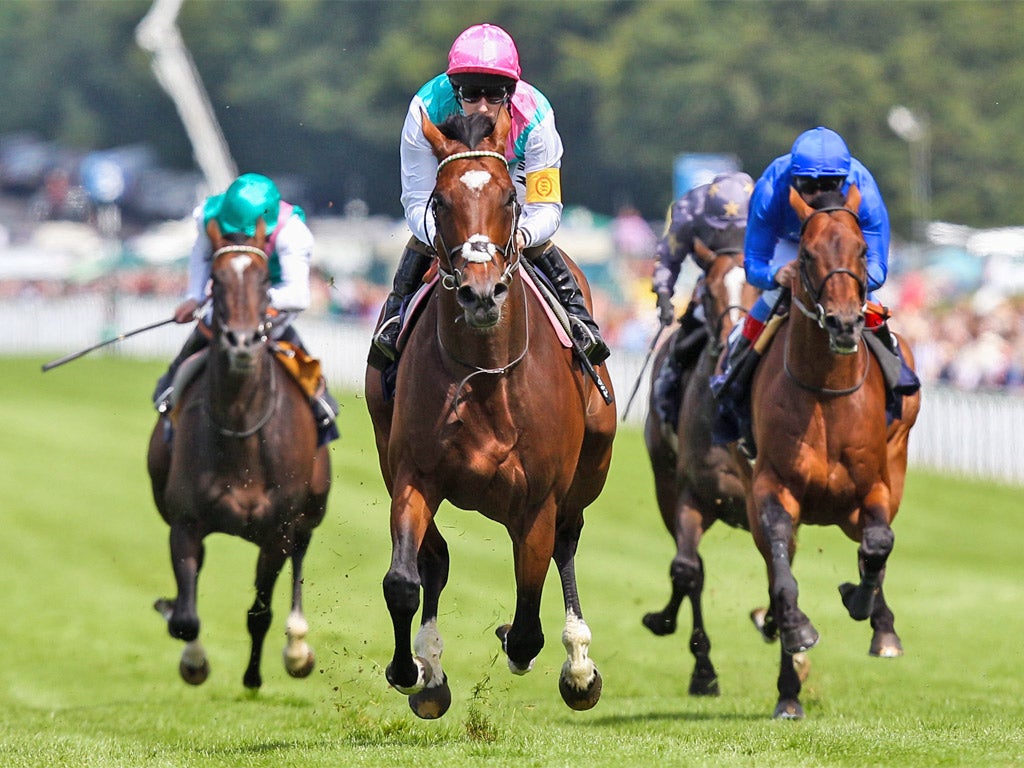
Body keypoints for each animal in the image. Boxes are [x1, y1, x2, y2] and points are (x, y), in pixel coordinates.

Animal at [146, 218, 329, 692]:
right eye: (216, 278)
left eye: (265, 280)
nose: (243, 342)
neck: (241, 431)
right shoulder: (185, 524)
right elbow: (186, 617)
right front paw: (192, 658)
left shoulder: (277, 532)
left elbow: (260, 611)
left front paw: (254, 674)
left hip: (310, 512)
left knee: (300, 556)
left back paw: (297, 647)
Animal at [362, 108, 610, 720]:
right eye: (442, 201)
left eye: (507, 199)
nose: (480, 294)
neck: (486, 373)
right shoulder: (413, 476)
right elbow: (403, 580)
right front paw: (410, 671)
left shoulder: (540, 500)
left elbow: (527, 618)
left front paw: (535, 649)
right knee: (435, 560)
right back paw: (430, 671)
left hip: (589, 466)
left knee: (566, 543)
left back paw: (578, 664)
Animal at [638, 241, 761, 696]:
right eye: (707, 293)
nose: (733, 337)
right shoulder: (693, 493)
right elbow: (688, 569)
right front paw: (702, 667)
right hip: (664, 485)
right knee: (691, 565)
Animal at [745, 186, 921, 720]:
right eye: (806, 255)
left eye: (862, 251)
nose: (844, 323)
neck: (824, 390)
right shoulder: (772, 488)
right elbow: (783, 578)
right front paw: (794, 630)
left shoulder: (873, 488)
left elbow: (879, 544)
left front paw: (862, 604)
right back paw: (787, 680)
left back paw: (882, 627)